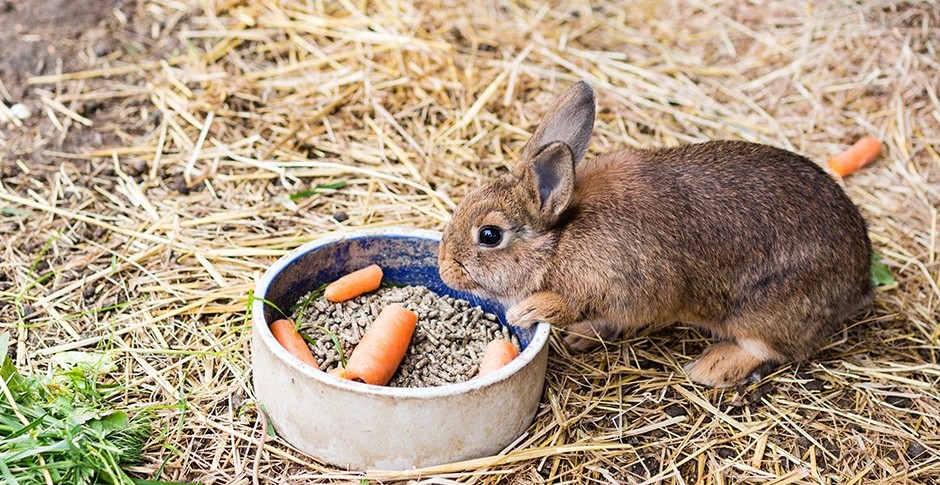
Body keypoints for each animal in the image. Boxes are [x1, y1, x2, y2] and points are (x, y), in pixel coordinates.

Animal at [438, 81, 872, 388]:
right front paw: (580, 336)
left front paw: (529, 310)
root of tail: (860, 280)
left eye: (489, 235)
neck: (560, 238)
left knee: (769, 348)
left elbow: (573, 303)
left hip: (764, 312)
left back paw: (710, 367)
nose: (444, 269)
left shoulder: (622, 285)